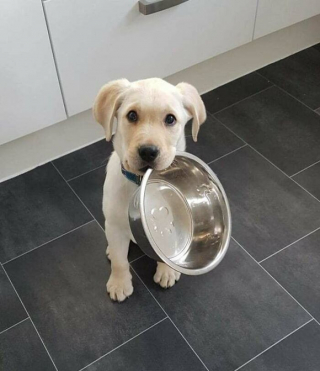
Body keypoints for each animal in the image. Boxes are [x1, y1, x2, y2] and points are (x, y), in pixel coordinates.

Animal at [94, 78, 206, 302]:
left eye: (170, 119)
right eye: (132, 115)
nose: (148, 151)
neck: (140, 183)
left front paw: (167, 271)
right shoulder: (114, 223)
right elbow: (120, 261)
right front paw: (119, 283)